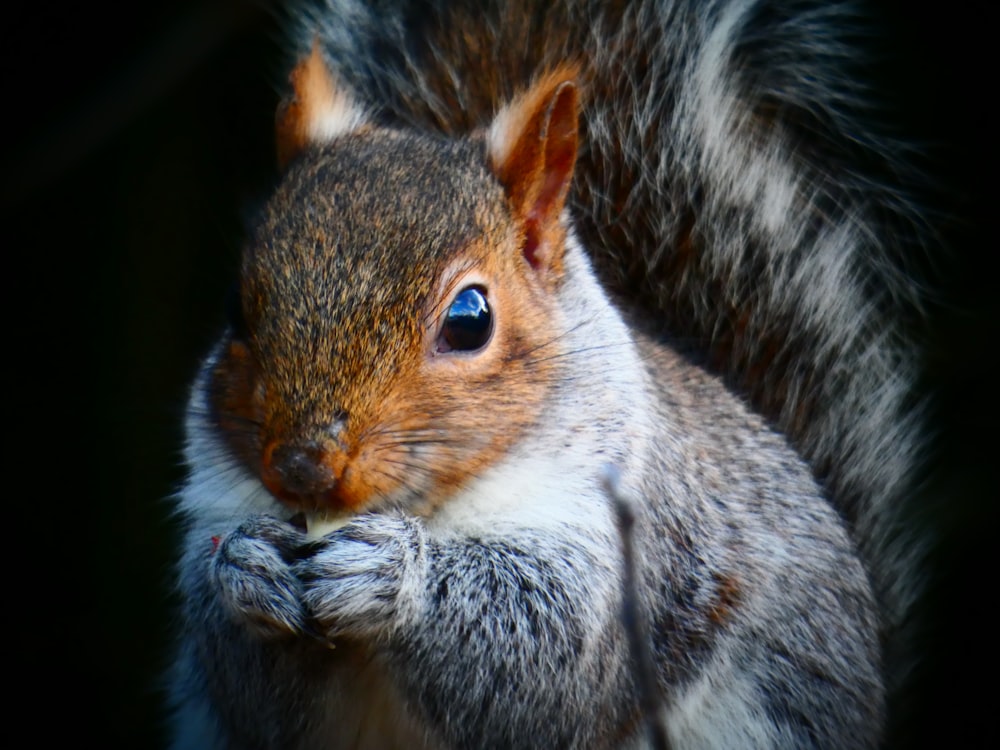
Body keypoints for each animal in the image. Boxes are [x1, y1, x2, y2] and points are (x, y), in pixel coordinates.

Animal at [166, 2, 928, 748]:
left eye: (470, 319)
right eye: (237, 309)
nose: (302, 465)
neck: (428, 508)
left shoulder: (630, 536)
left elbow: (552, 658)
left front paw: (396, 575)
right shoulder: (217, 502)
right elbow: (253, 695)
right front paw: (246, 572)